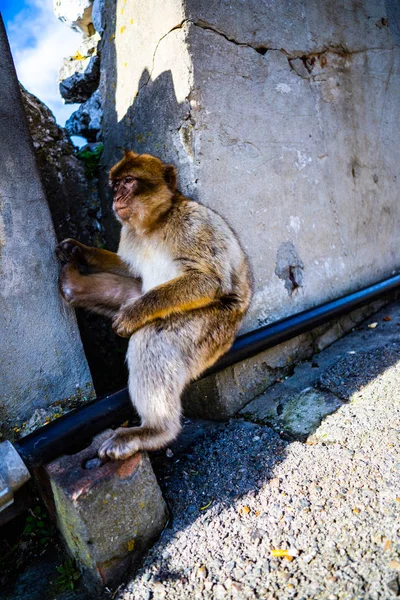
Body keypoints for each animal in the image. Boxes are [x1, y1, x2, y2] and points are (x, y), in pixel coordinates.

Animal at [56, 150, 252, 460]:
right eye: (115, 184)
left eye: (128, 181)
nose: (116, 197)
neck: (155, 223)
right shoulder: (129, 236)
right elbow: (129, 267)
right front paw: (79, 250)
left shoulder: (193, 226)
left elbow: (208, 280)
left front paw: (132, 316)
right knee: (134, 291)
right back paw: (72, 284)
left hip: (212, 330)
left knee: (151, 336)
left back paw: (154, 430)